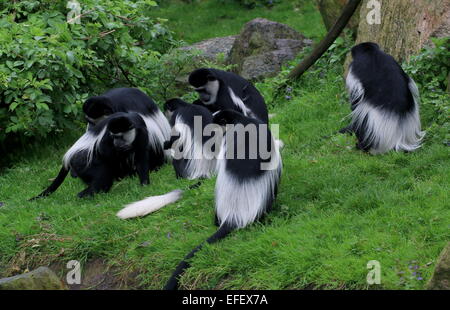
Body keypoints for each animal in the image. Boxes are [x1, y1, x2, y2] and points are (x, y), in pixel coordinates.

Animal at [30, 112, 166, 199]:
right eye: (114, 136)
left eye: (120, 136)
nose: (116, 143)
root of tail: (69, 156)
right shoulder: (107, 135)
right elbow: (104, 150)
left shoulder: (142, 132)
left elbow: (141, 156)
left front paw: (144, 184)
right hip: (82, 160)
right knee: (102, 173)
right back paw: (87, 194)